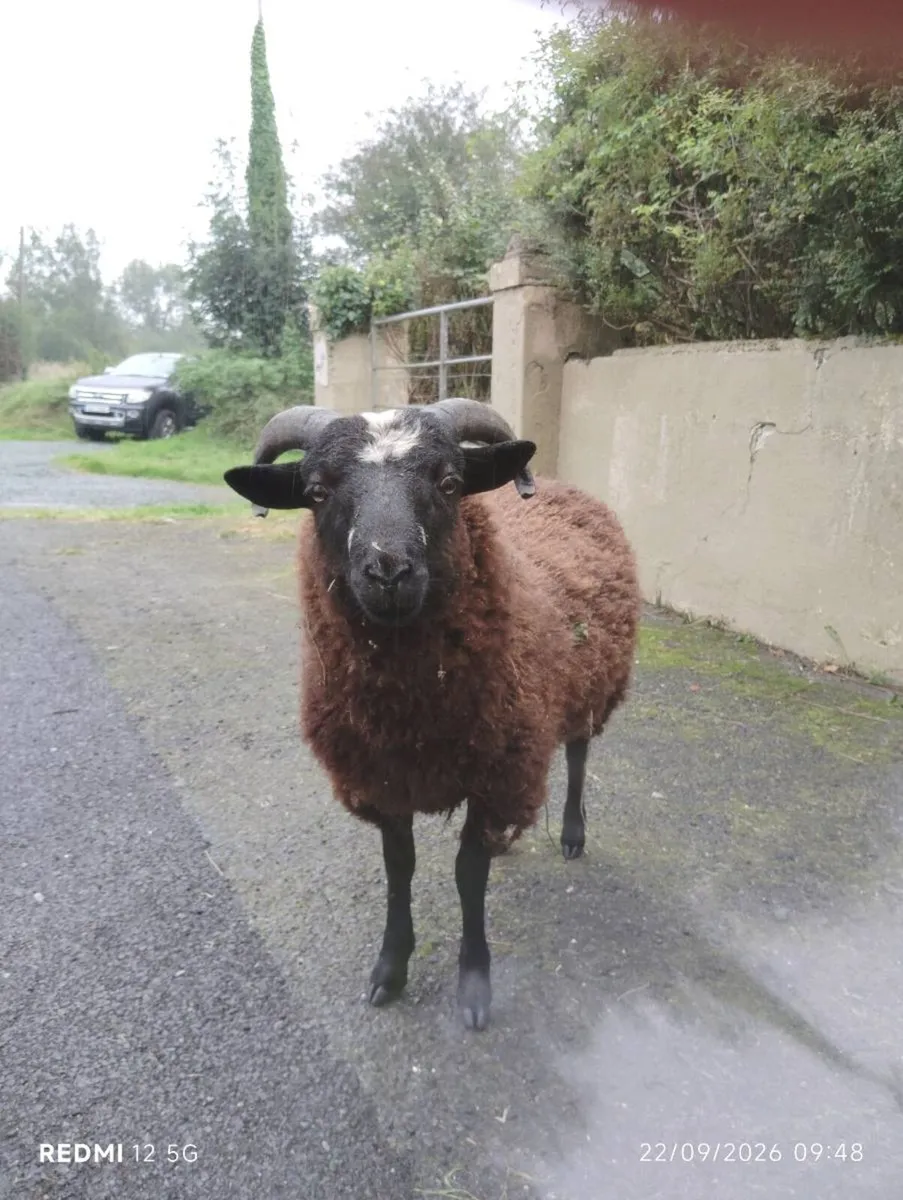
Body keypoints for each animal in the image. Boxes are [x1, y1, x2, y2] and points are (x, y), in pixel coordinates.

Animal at [224, 398, 640, 1030]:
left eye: (448, 483)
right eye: (317, 491)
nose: (388, 572)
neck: (412, 714)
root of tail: (559, 482)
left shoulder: (496, 770)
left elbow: (469, 874)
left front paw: (474, 984)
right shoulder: (382, 778)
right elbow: (401, 868)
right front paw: (390, 969)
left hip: (588, 690)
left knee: (576, 756)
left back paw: (571, 833)